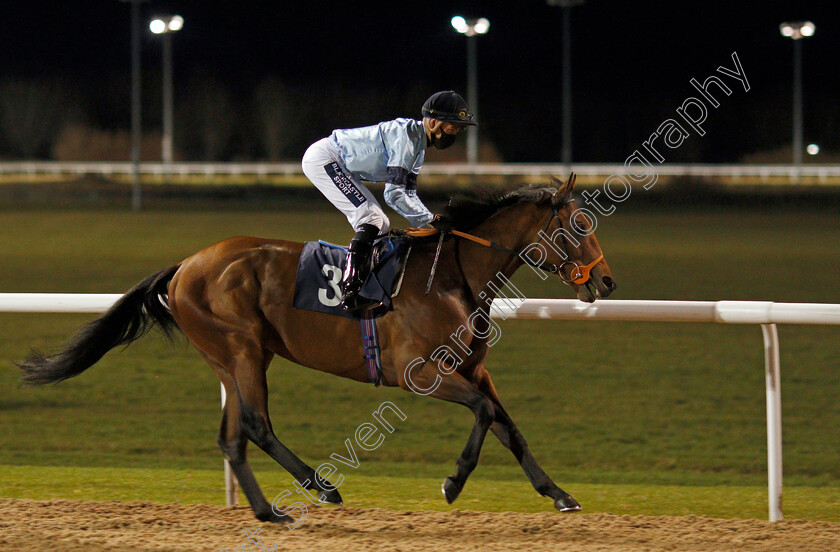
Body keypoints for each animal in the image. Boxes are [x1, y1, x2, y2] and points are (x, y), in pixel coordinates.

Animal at [16, 175, 612, 524]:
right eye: (578, 224)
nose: (605, 282)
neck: (454, 276)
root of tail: (185, 265)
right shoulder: (422, 373)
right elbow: (487, 415)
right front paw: (451, 483)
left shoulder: (475, 370)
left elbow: (509, 427)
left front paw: (559, 493)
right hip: (241, 349)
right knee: (256, 424)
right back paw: (318, 488)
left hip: (232, 358)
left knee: (232, 436)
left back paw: (265, 511)